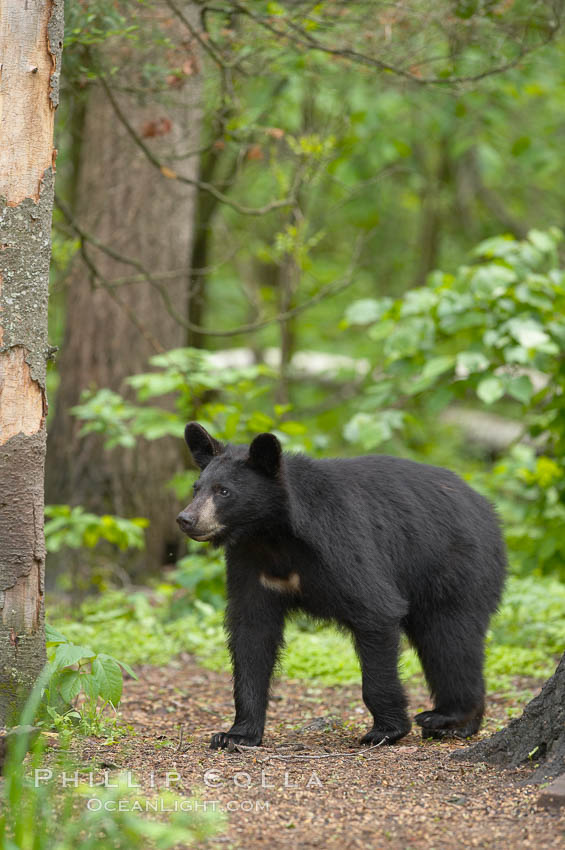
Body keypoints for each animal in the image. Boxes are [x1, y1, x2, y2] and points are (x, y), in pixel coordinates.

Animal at [177, 420, 506, 744]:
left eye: (224, 491)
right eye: (196, 488)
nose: (186, 519)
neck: (273, 535)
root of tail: (487, 508)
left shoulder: (340, 544)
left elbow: (376, 610)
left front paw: (386, 730)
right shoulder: (250, 563)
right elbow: (252, 635)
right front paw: (236, 734)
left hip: (453, 565)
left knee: (450, 638)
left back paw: (447, 717)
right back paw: (459, 725)